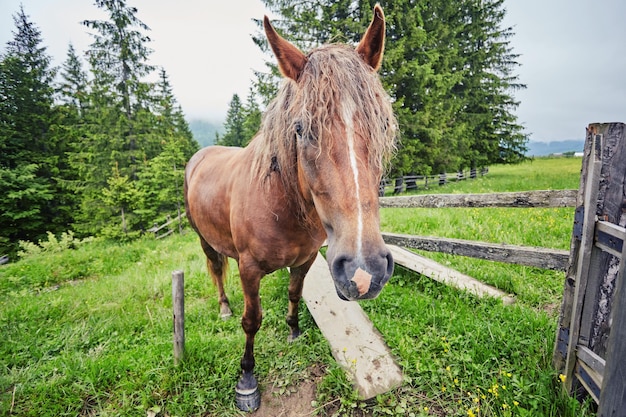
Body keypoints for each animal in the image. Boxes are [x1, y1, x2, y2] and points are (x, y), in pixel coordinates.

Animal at [183, 4, 394, 412]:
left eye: (382, 124)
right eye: (300, 129)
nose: (364, 272)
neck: (281, 205)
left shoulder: (306, 259)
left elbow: (294, 294)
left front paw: (294, 330)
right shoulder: (249, 268)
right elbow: (251, 320)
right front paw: (247, 380)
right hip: (203, 240)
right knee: (215, 270)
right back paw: (223, 307)